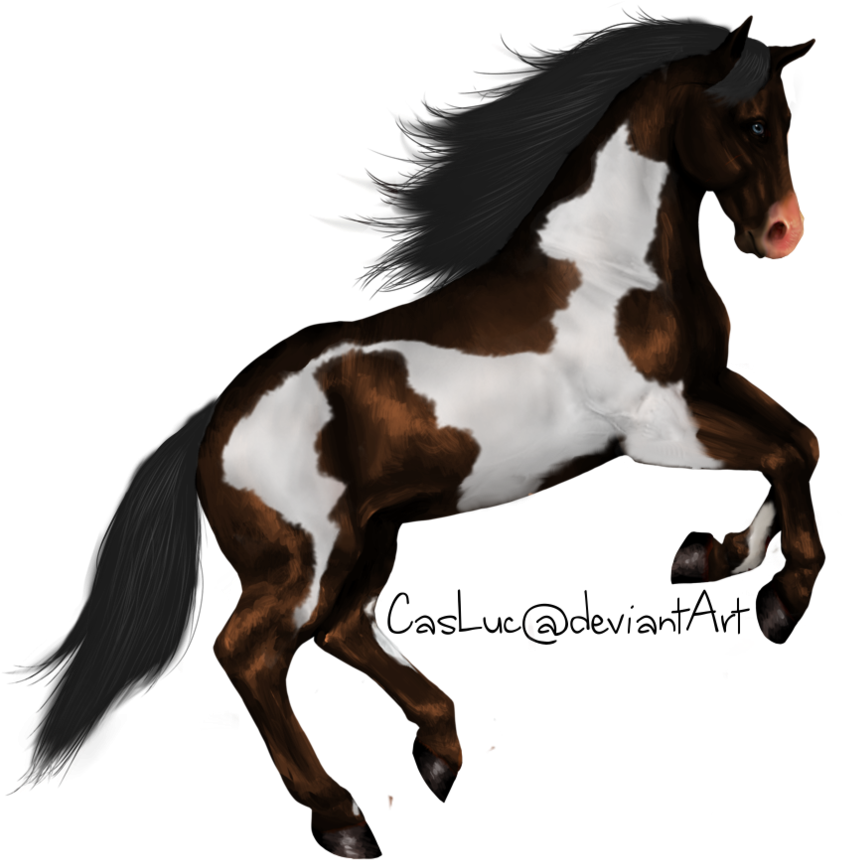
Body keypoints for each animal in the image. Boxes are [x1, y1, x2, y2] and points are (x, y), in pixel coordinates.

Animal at [8, 10, 821, 859]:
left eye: (788, 123)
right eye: (751, 123)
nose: (784, 233)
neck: (612, 271)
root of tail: (216, 414)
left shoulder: (710, 384)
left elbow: (802, 442)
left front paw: (724, 560)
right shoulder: (652, 426)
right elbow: (782, 454)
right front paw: (775, 592)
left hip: (375, 534)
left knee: (342, 631)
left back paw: (440, 755)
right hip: (304, 557)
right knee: (252, 654)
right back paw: (344, 817)